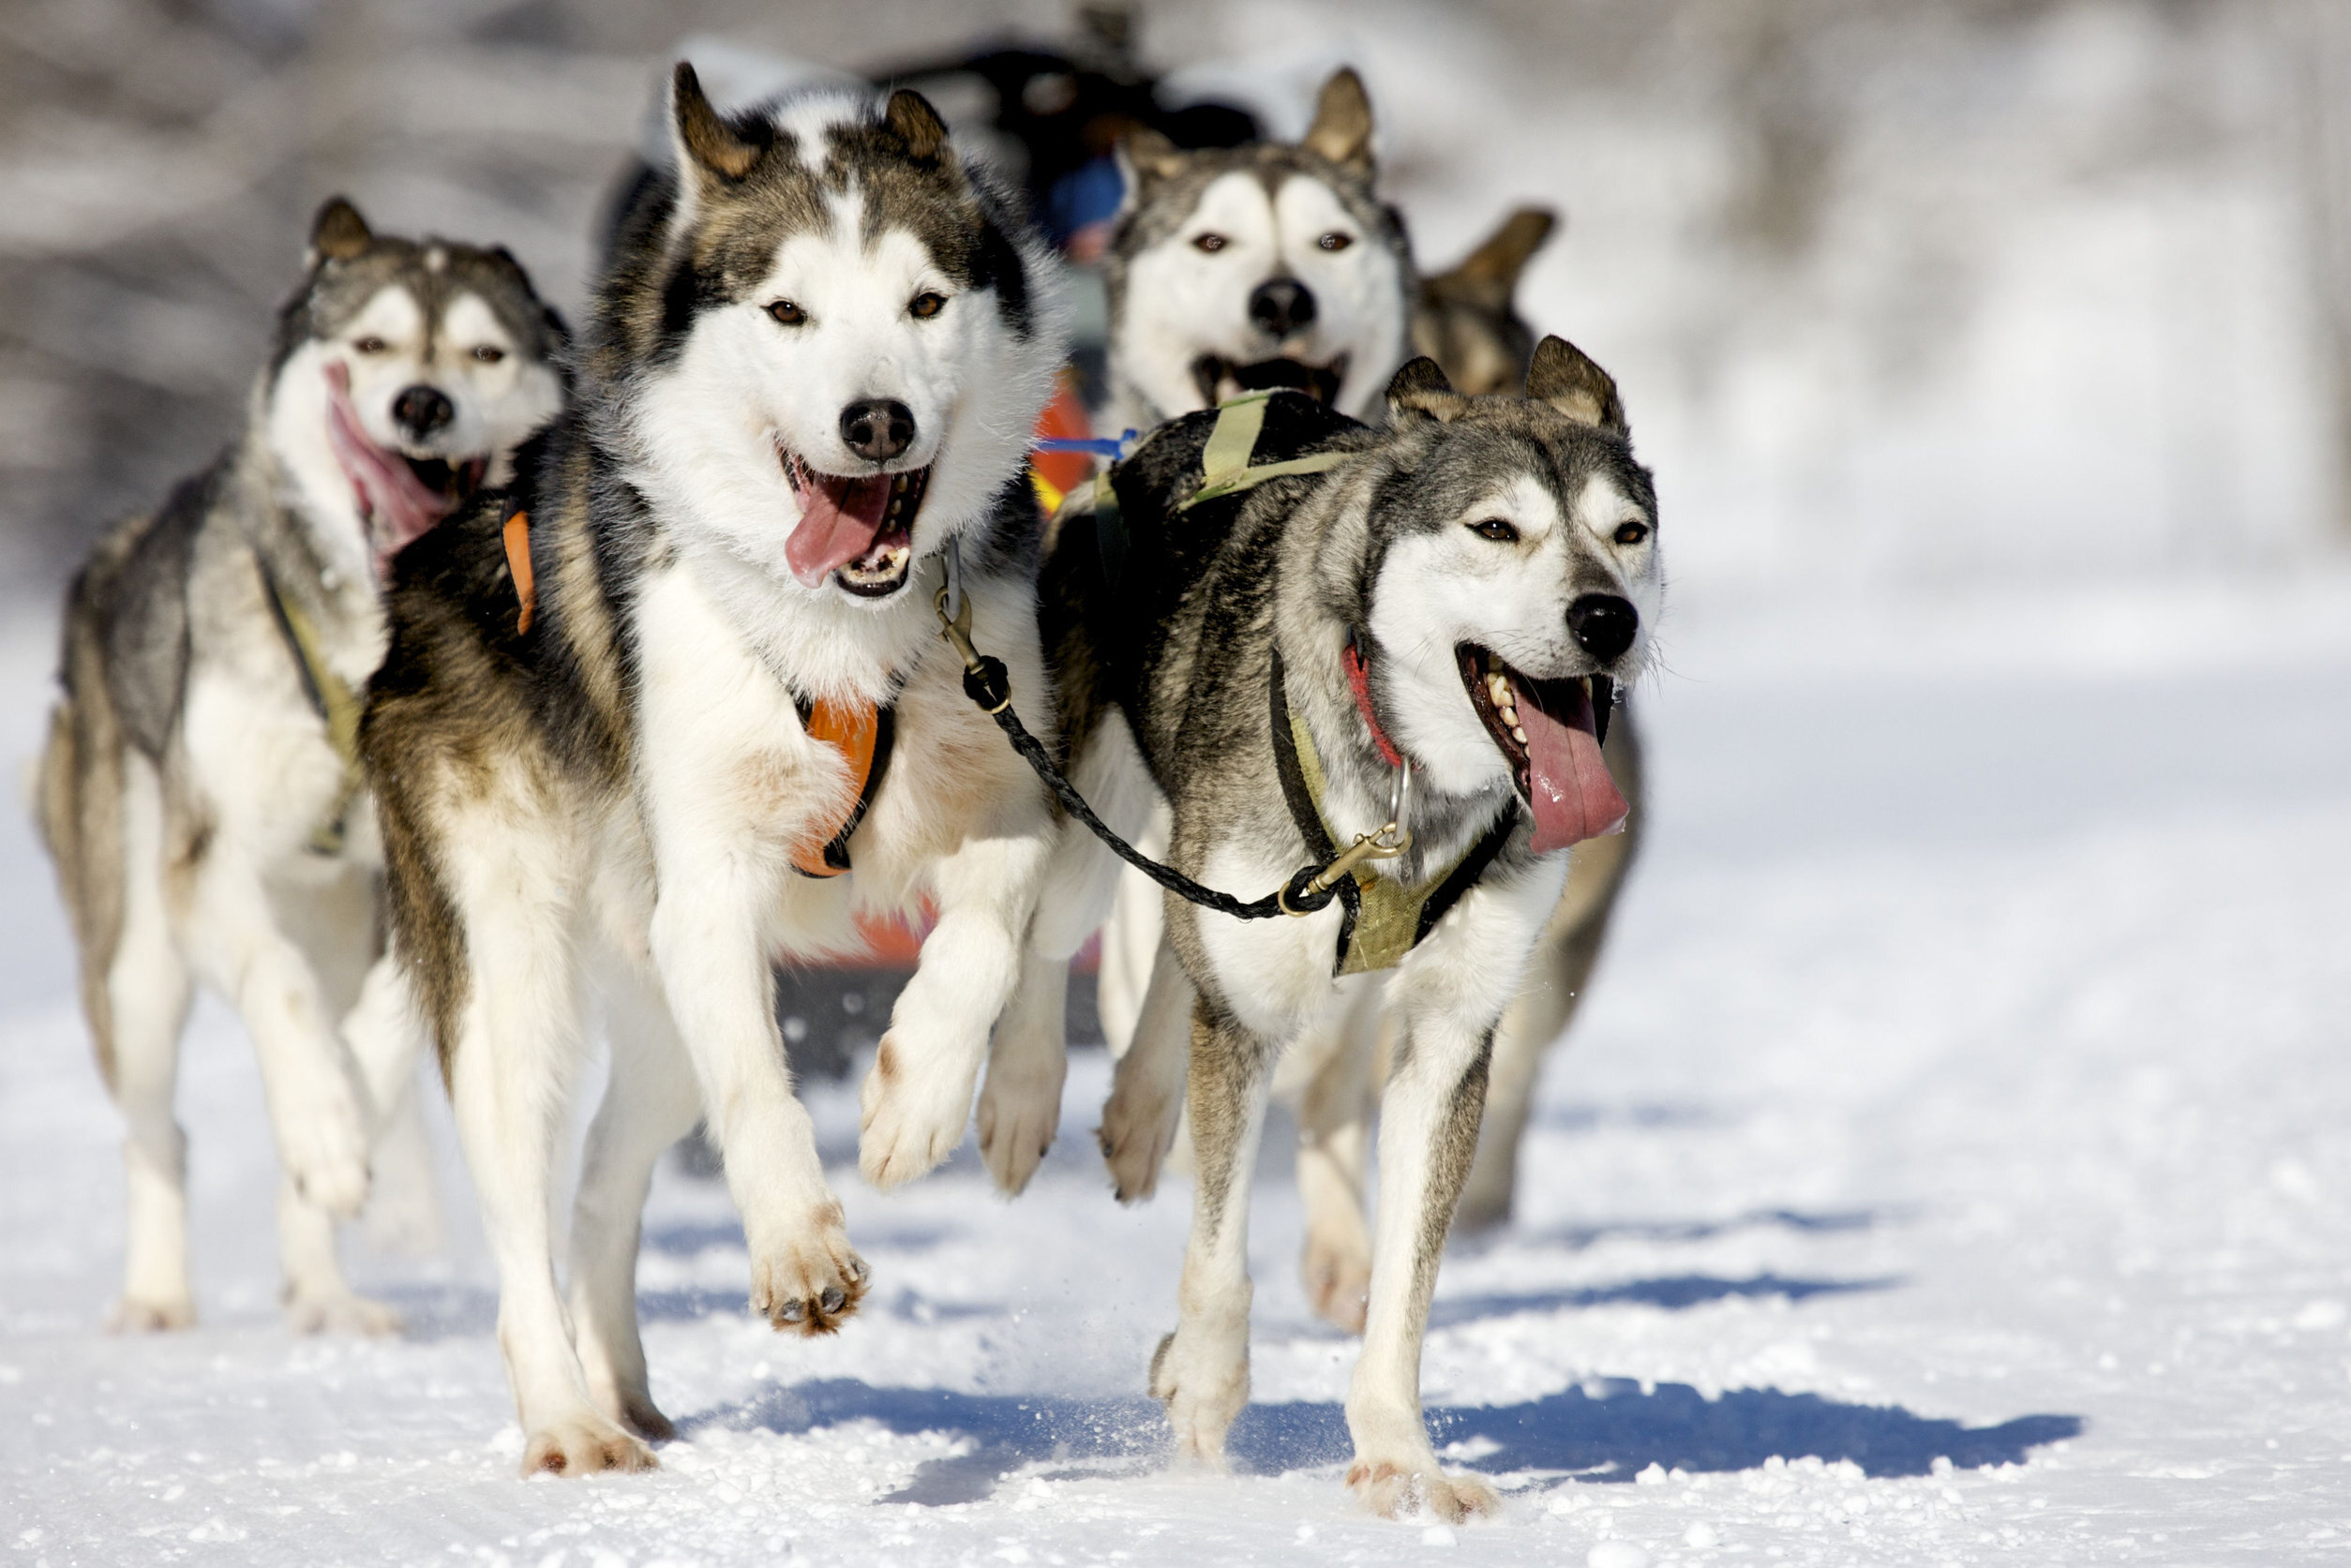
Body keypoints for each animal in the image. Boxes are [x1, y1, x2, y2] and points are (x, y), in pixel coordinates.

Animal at [39, 200, 568, 1335]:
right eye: (368, 346)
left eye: (486, 352)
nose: (423, 404)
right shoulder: (209, 866)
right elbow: (277, 992)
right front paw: (327, 1123)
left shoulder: (427, 870)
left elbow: (382, 1024)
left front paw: (348, 1118)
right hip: (136, 964)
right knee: (159, 1133)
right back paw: (158, 1293)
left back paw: (326, 1290)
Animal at [359, 70, 1067, 1476]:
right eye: (787, 310)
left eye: (924, 302)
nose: (875, 421)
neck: (842, 634)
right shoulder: (711, 887)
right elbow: (761, 1090)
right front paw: (798, 1244)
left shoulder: (1007, 777)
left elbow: (987, 931)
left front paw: (918, 1096)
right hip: (517, 973)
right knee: (526, 1214)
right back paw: (566, 1415)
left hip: (652, 1008)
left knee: (598, 1195)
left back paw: (621, 1383)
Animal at [1025, 345, 1655, 1523]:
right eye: (1496, 528)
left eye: (1627, 531)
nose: (1608, 619)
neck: (1409, 797)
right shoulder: (1250, 1013)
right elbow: (1219, 1250)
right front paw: (1206, 1391)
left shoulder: (1447, 1039)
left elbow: (1406, 1280)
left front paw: (1399, 1453)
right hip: (1083, 808)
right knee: (1042, 932)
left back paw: (1136, 1108)